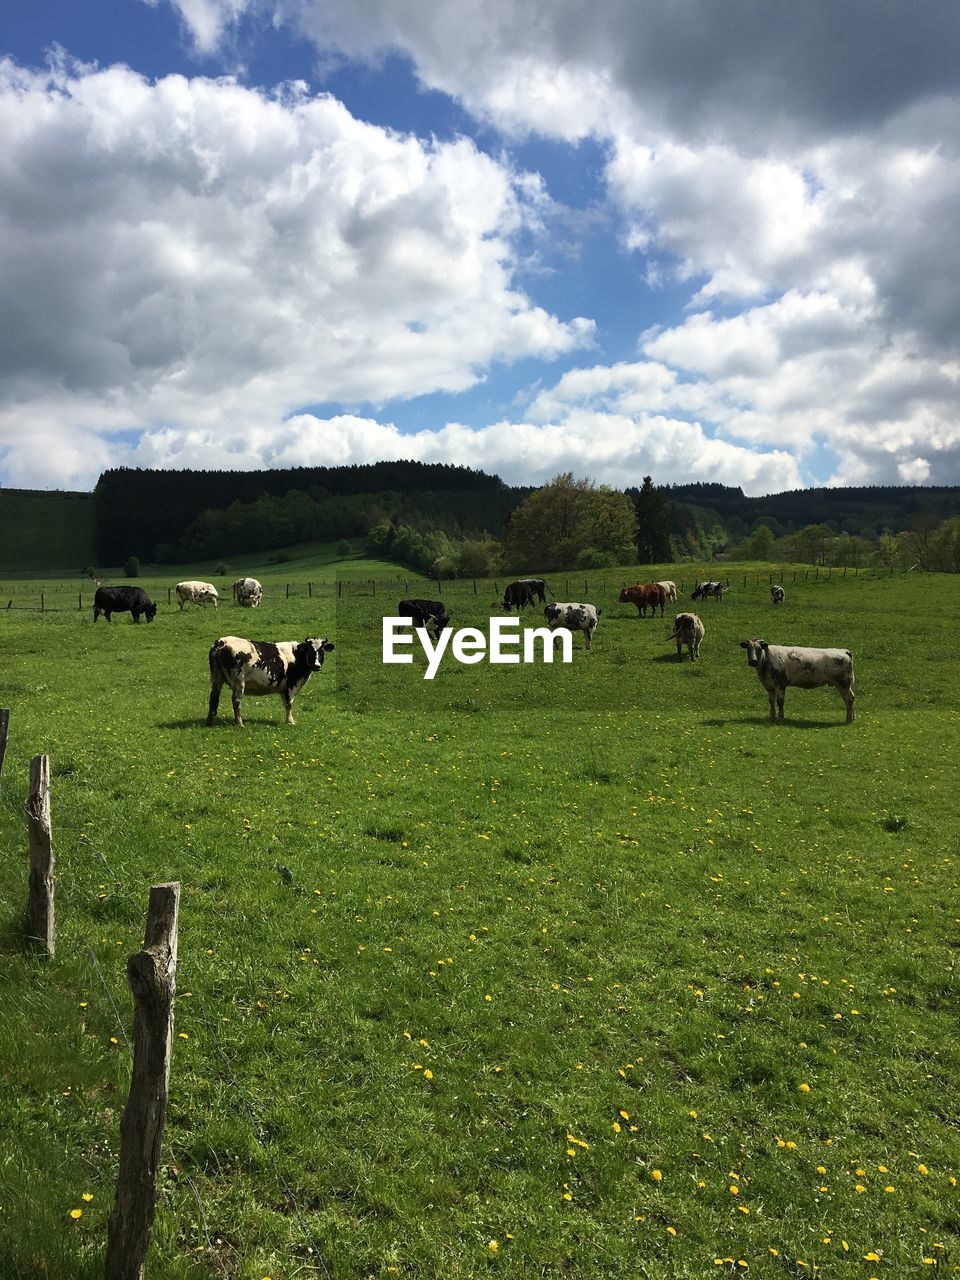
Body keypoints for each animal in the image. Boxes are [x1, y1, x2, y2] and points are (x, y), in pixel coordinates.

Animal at [207, 634, 335, 727]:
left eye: (322, 651)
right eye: (311, 651)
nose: (317, 666)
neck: (297, 655)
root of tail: (222, 641)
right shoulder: (291, 685)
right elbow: (289, 703)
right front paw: (290, 721)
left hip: (216, 677)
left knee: (213, 697)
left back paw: (210, 721)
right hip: (239, 681)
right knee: (236, 701)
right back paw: (239, 723)